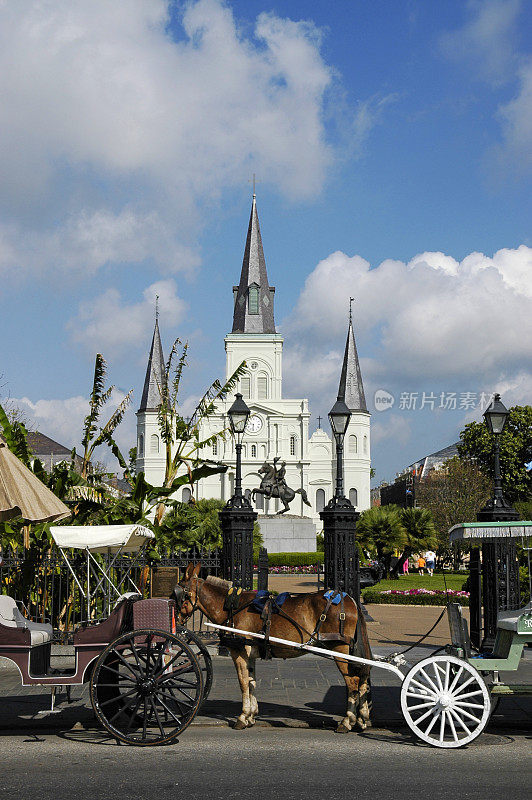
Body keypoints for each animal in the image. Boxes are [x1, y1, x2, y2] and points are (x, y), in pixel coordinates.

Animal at [177, 564, 372, 732]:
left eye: (177, 593)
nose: (176, 619)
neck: (232, 605)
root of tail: (350, 600)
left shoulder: (239, 651)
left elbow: (243, 682)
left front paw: (242, 717)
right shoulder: (250, 654)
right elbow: (251, 682)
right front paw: (251, 715)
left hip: (339, 648)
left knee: (353, 682)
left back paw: (347, 721)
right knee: (362, 678)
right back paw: (362, 718)